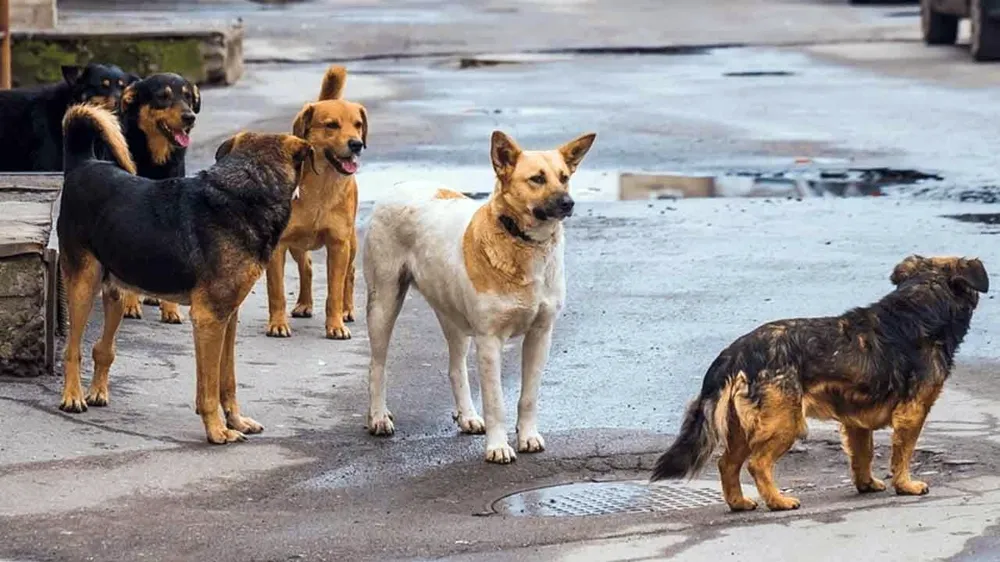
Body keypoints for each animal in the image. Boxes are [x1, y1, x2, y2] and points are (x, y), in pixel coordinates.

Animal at [116, 72, 202, 322]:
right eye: (163, 96)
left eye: (188, 97)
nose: (190, 117)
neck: (156, 161)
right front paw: (130, 305)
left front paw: (171, 310)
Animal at [266, 64, 368, 336]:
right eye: (331, 125)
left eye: (358, 124)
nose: (357, 144)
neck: (321, 187)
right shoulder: (278, 246)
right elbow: (276, 291)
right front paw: (277, 323)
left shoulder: (338, 244)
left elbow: (335, 291)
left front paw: (336, 325)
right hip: (296, 244)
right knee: (307, 267)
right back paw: (304, 304)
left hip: (351, 243)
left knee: (350, 274)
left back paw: (347, 310)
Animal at [360, 129, 592, 462]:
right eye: (537, 179)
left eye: (564, 177)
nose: (568, 203)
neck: (522, 242)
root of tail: (400, 185)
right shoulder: (490, 341)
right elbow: (496, 403)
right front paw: (498, 447)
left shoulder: (540, 334)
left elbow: (529, 396)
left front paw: (528, 436)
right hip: (384, 303)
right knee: (377, 365)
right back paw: (378, 417)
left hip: (452, 316)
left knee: (456, 368)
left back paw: (467, 416)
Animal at [652, 256, 988, 510]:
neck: (921, 305)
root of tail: (735, 353)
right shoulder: (913, 413)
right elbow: (902, 453)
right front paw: (905, 484)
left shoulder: (856, 422)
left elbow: (862, 455)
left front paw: (866, 484)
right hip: (785, 422)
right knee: (757, 464)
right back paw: (778, 501)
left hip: (742, 428)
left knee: (727, 464)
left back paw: (740, 503)